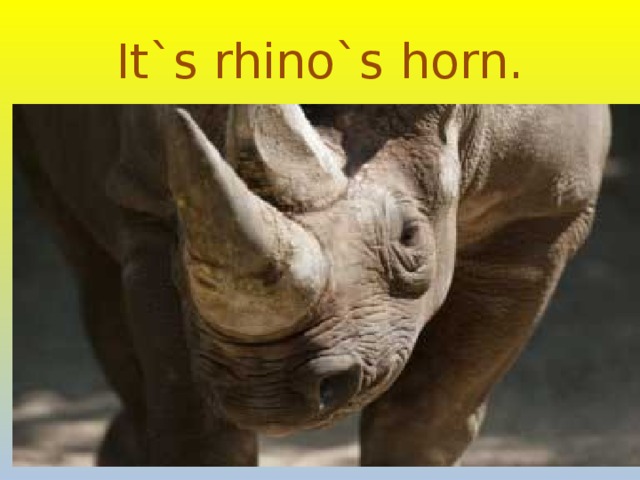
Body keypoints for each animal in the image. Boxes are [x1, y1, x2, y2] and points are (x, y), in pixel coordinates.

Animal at [14, 104, 610, 466]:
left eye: (411, 238)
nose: (265, 392)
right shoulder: (147, 207)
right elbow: (194, 421)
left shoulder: (543, 212)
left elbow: (426, 414)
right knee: (93, 275)